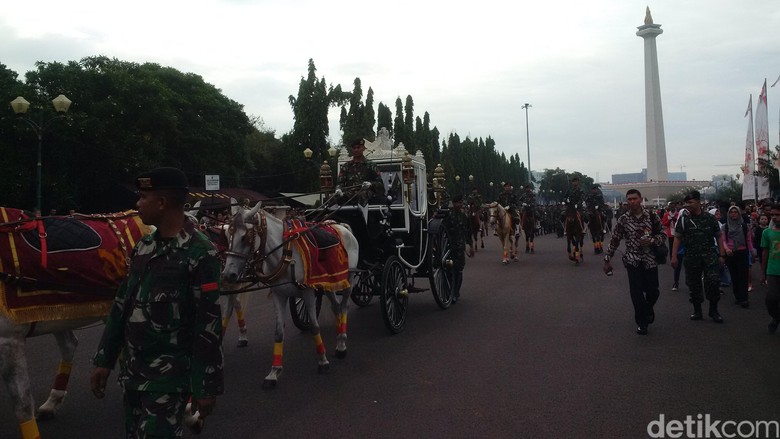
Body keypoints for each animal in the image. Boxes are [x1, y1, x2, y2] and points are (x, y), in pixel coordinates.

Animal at [222, 202, 360, 388]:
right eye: (228, 235)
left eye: (245, 237)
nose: (228, 274)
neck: (285, 254)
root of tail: (342, 226)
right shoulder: (279, 295)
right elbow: (279, 332)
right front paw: (274, 372)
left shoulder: (307, 292)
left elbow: (314, 326)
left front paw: (322, 361)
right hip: (329, 283)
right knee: (336, 307)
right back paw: (339, 340)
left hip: (348, 279)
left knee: (344, 306)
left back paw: (342, 343)